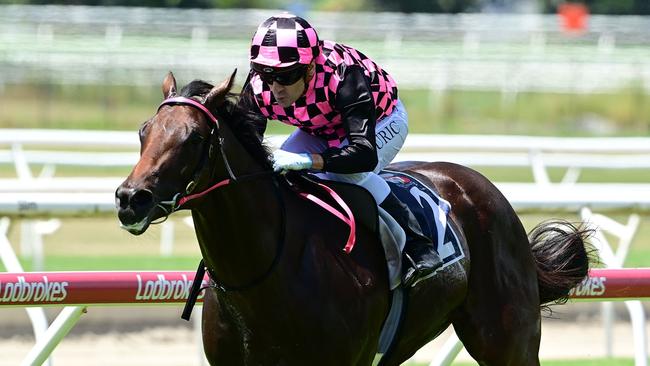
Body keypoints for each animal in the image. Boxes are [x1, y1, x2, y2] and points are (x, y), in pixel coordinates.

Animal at [114, 70, 588, 364]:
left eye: (194, 137)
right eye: (143, 131)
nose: (130, 198)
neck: (265, 273)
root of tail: (485, 188)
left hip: (508, 341)